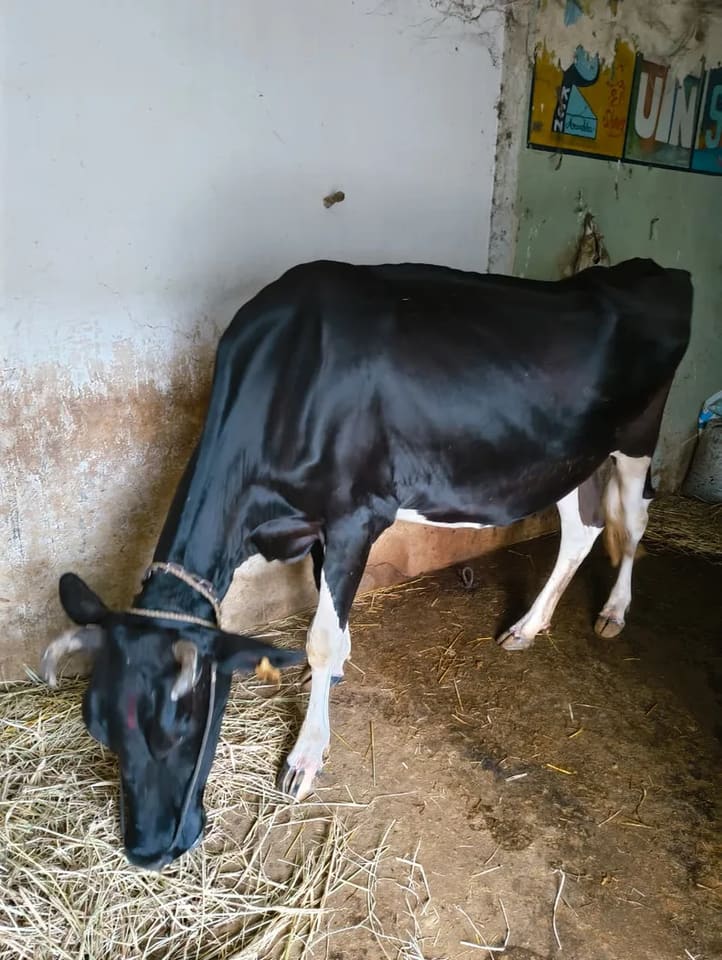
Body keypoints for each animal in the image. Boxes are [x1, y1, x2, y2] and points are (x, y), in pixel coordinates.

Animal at [40, 258, 692, 870]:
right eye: (97, 726)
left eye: (179, 725)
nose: (146, 852)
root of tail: (652, 269)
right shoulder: (317, 524)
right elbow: (326, 610)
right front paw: (333, 675)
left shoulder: (356, 515)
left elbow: (320, 636)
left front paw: (305, 754)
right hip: (567, 458)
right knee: (583, 529)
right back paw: (528, 628)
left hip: (637, 439)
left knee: (634, 522)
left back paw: (613, 612)